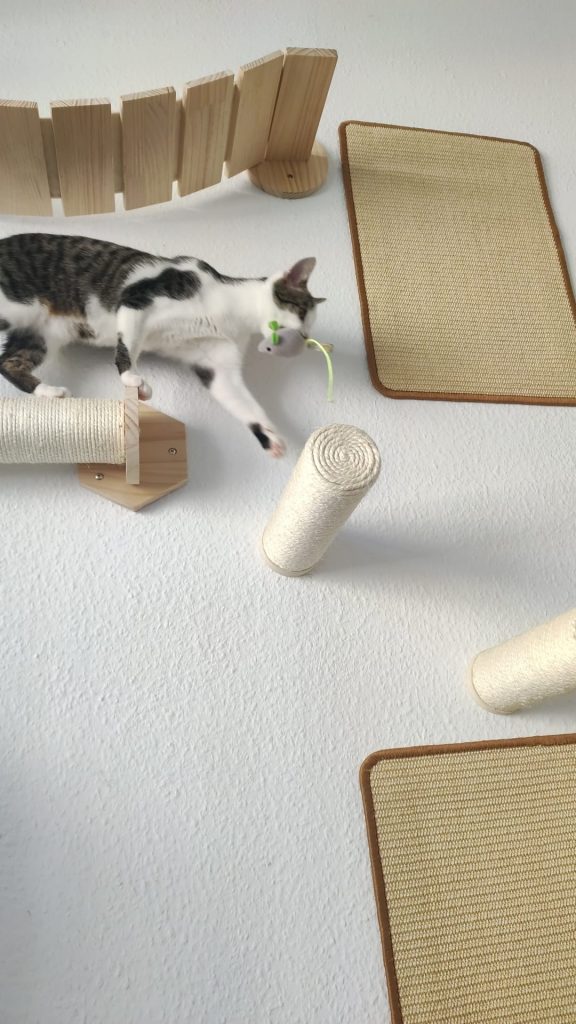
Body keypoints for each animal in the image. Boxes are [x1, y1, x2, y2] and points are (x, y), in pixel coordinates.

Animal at [0, 233, 325, 457]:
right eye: (302, 313)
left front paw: (270, 437)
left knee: (8, 363)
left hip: (41, 336)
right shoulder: (136, 299)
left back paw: (50, 393)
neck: (231, 316)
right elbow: (127, 348)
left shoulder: (216, 364)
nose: (304, 339)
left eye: (309, 327)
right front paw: (133, 379)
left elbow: (242, 402)